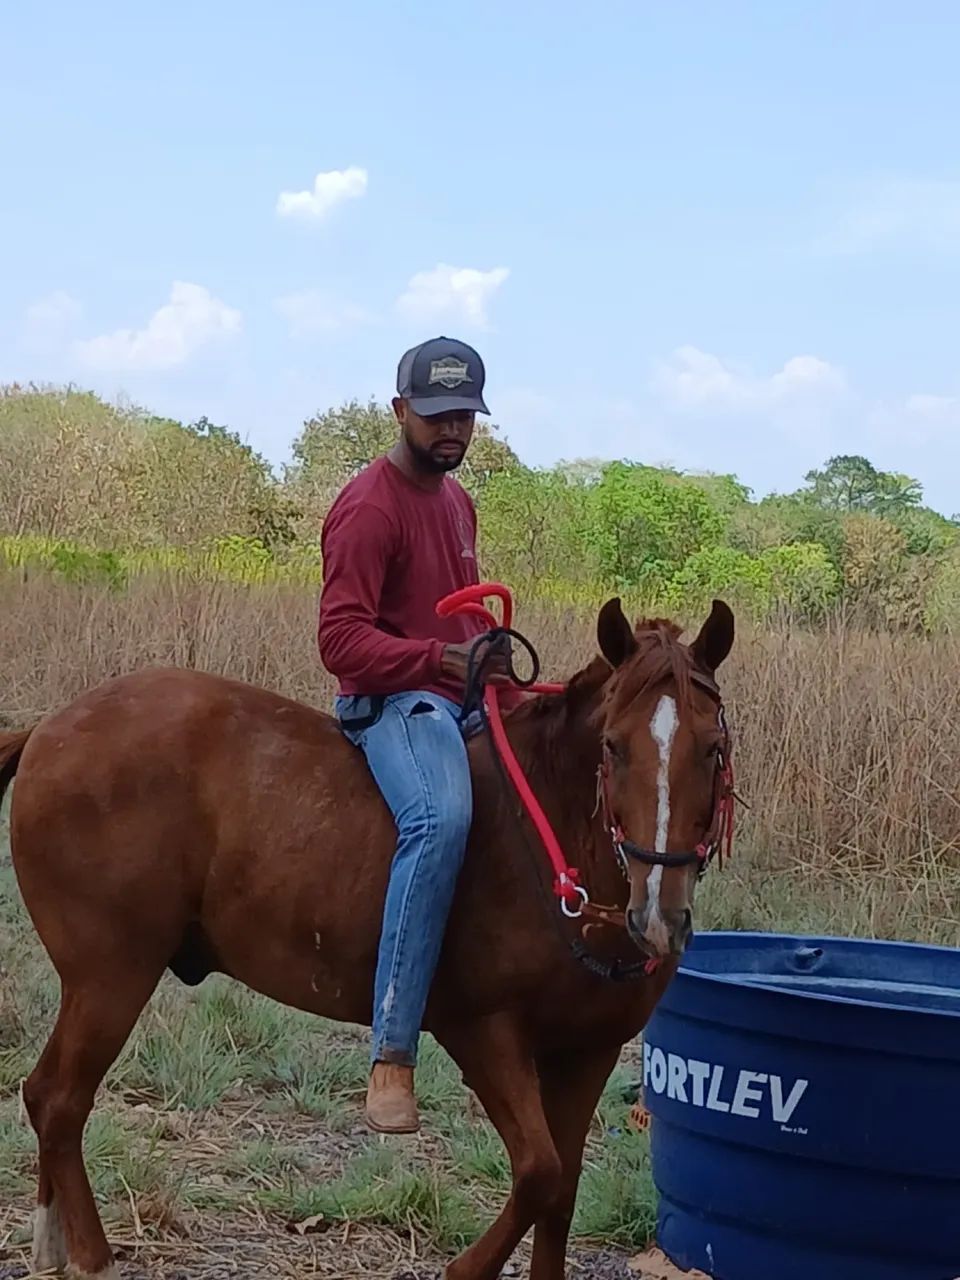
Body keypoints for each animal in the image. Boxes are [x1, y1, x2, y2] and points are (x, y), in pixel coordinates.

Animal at [0, 594, 735, 1280]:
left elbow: (562, 1191)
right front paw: (465, 1268)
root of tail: (49, 730)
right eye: (613, 746)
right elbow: (539, 1172)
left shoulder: (587, 1054)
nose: (659, 915)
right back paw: (91, 1255)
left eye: (713, 748)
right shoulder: (483, 1033)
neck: (553, 835)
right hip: (111, 976)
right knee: (60, 1099)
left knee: (46, 1095)